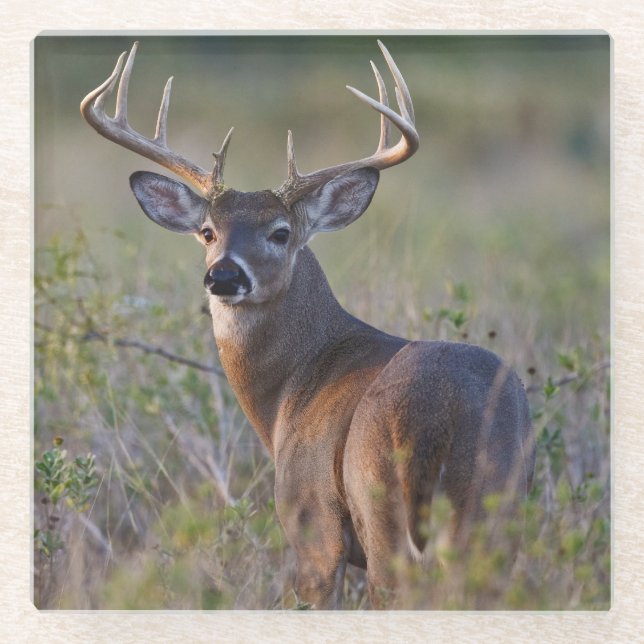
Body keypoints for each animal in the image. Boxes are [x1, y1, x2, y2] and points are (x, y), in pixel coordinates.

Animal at [81, 40, 535, 609]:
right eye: (207, 231)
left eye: (279, 232)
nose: (223, 275)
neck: (286, 394)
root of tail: (439, 414)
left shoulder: (310, 519)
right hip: (496, 509)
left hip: (379, 506)